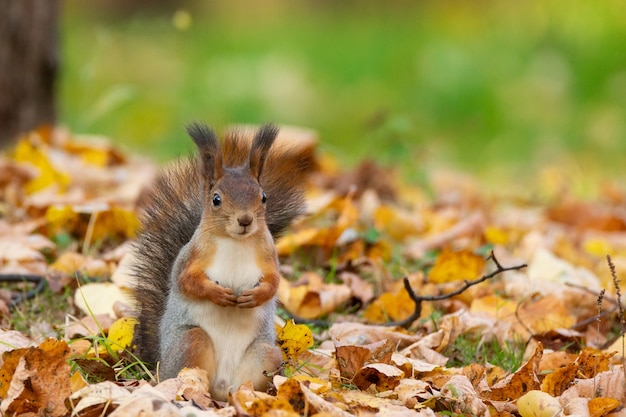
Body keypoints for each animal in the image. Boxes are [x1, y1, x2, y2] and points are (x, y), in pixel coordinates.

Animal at [132, 123, 316, 400]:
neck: (236, 242)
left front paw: (255, 297)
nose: (245, 220)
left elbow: (274, 282)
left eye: (263, 197)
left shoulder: (268, 257)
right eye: (216, 199)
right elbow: (186, 281)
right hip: (191, 343)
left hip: (265, 355)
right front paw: (218, 294)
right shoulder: (191, 256)